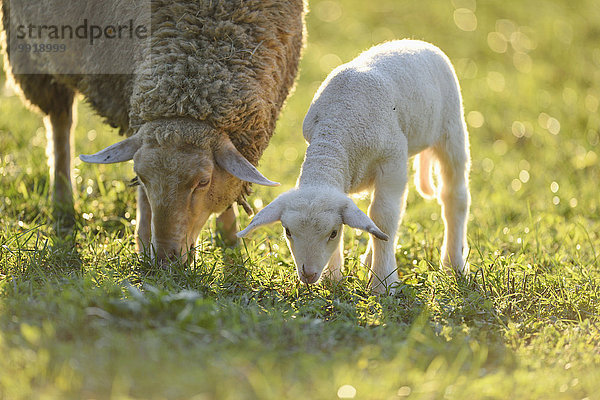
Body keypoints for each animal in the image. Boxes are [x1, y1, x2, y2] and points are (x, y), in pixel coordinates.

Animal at [1, 0, 304, 262]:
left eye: (203, 182)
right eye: (141, 177)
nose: (165, 260)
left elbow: (230, 184)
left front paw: (230, 238)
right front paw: (144, 242)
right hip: (32, 53)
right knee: (60, 122)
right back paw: (63, 202)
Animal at [237, 39, 472, 292]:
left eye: (332, 233)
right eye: (288, 231)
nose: (308, 274)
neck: (337, 128)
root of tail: (416, 42)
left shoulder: (393, 158)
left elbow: (384, 216)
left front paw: (382, 283)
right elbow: (374, 221)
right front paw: (332, 277)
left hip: (451, 129)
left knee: (454, 197)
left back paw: (453, 264)